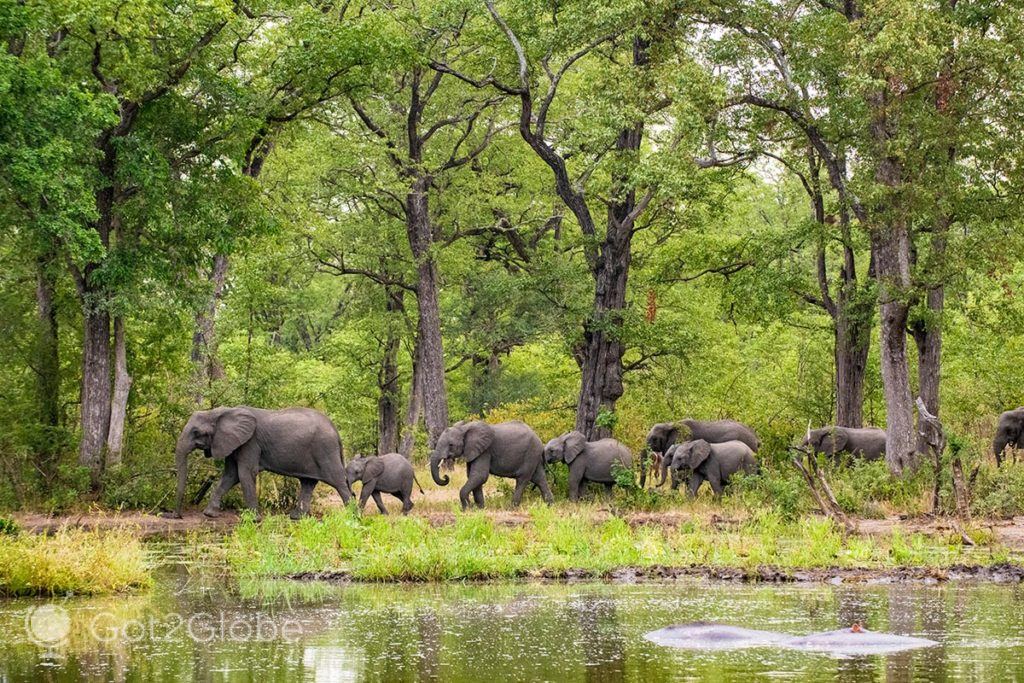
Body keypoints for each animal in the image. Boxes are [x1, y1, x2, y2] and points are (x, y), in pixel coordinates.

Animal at [169, 405, 354, 518]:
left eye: (196, 432)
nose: (178, 516)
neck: (220, 412)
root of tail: (335, 430)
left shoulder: (250, 442)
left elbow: (245, 473)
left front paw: (253, 519)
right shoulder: (233, 443)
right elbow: (230, 475)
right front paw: (209, 514)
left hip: (325, 450)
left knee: (338, 481)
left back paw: (354, 516)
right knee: (308, 482)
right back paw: (296, 517)